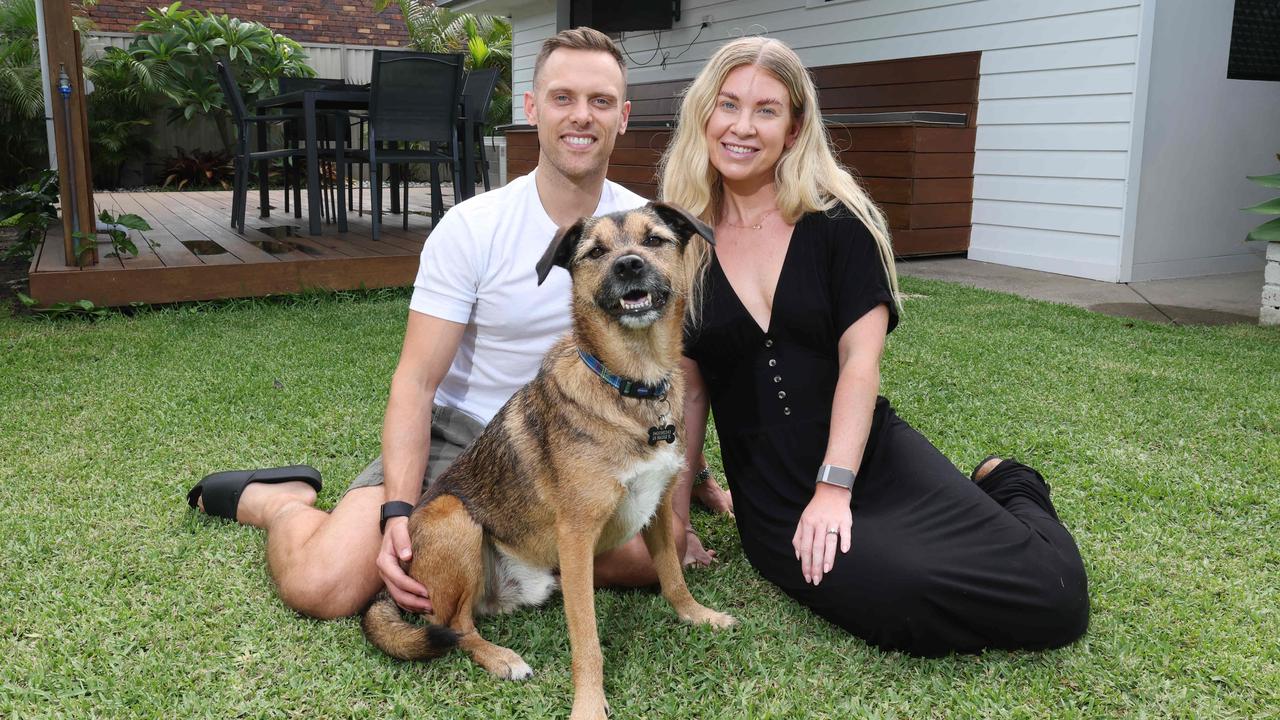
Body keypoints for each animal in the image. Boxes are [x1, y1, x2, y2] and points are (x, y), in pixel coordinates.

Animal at [366, 199, 737, 717]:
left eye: (654, 240)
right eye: (596, 251)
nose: (628, 265)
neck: (632, 385)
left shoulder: (659, 509)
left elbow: (672, 577)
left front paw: (696, 615)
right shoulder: (576, 536)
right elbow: (587, 639)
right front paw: (589, 704)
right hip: (455, 519)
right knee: (456, 628)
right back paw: (502, 658)